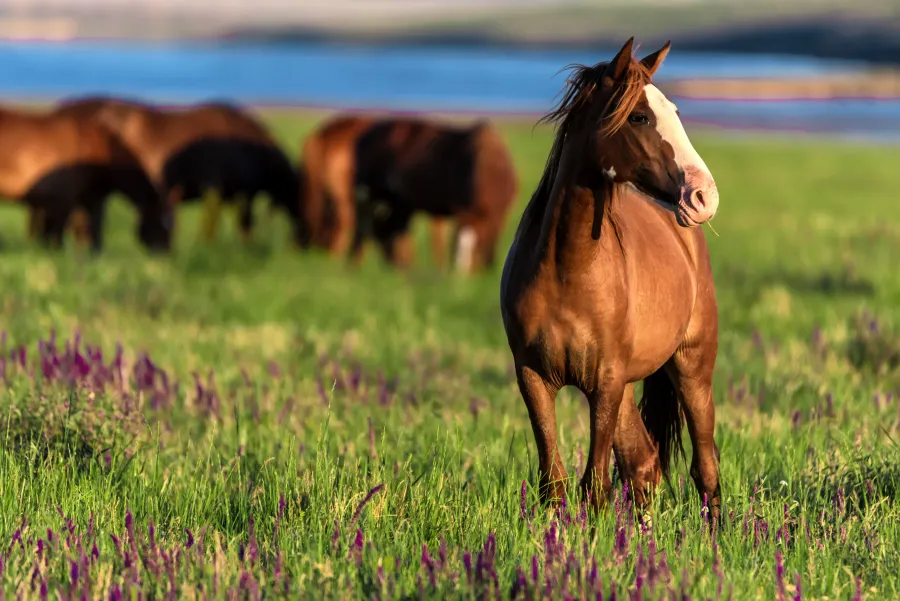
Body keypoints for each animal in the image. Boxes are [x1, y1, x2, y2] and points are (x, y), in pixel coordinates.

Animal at [0, 105, 172, 251]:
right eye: (164, 222)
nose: (165, 251)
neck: (101, 148)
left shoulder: (90, 198)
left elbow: (93, 229)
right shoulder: (64, 198)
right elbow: (58, 230)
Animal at [354, 115, 520, 274]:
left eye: (479, 243)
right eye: (455, 244)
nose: (461, 277)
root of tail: (365, 136)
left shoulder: (498, 216)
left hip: (398, 205)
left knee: (391, 232)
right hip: (369, 197)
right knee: (365, 229)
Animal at [502, 36, 720, 520]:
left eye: (675, 111)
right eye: (639, 116)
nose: (703, 196)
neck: (568, 270)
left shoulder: (605, 382)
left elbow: (595, 486)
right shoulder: (534, 378)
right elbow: (555, 483)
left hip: (691, 369)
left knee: (705, 468)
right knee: (645, 464)